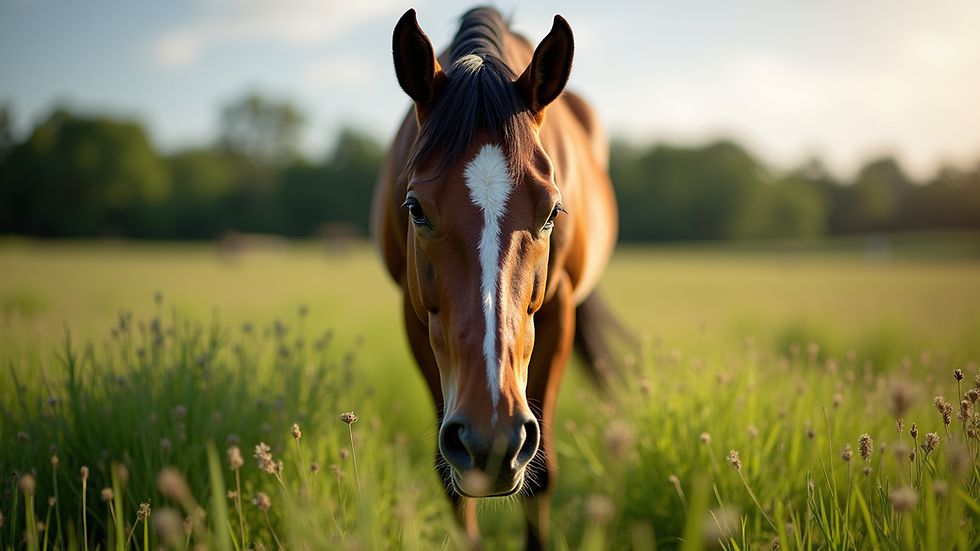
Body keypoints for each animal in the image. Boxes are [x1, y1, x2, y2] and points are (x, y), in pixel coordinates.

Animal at [371, 7, 618, 549]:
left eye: (552, 212)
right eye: (415, 208)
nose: (493, 439)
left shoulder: (559, 312)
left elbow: (542, 477)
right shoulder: (413, 318)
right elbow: (450, 482)